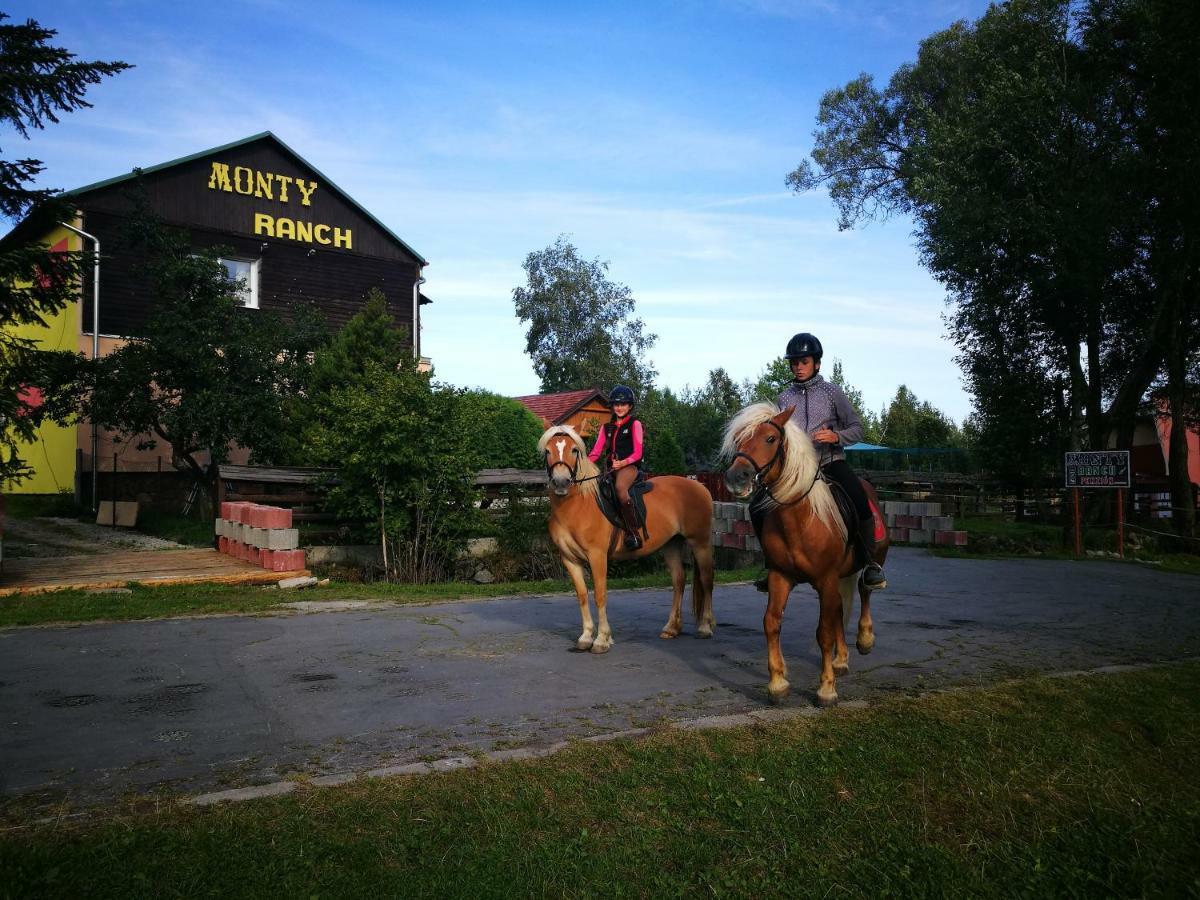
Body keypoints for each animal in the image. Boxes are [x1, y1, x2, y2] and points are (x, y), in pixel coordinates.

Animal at [540, 427, 715, 652]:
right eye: (547, 451)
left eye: (574, 450)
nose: (561, 482)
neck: (577, 505)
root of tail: (699, 486)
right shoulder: (569, 559)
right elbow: (582, 595)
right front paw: (586, 637)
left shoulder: (597, 556)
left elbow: (600, 595)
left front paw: (602, 639)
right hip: (671, 544)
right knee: (679, 580)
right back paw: (671, 628)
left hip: (700, 542)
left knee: (707, 579)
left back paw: (705, 627)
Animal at [715, 405, 888, 710]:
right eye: (738, 439)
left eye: (770, 438)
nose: (737, 478)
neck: (800, 518)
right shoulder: (781, 577)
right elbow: (772, 623)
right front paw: (778, 684)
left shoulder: (825, 579)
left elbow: (823, 632)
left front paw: (826, 689)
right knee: (839, 608)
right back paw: (841, 660)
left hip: (869, 562)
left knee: (865, 591)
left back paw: (865, 640)